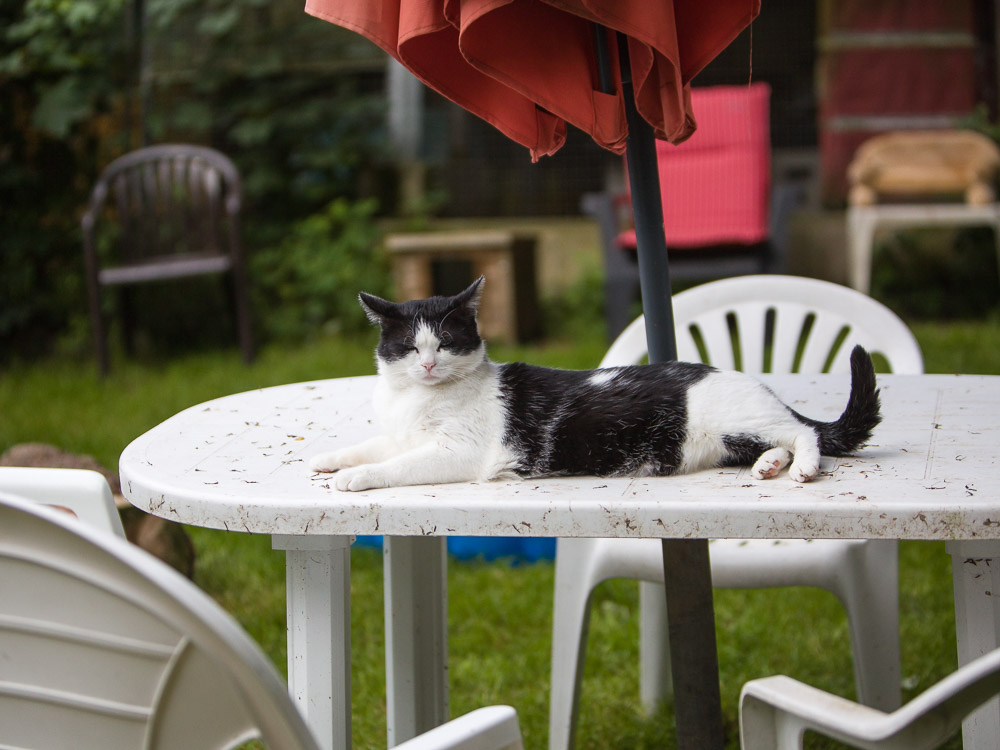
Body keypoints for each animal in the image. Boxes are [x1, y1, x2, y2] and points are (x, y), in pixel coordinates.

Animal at [308, 278, 880, 494]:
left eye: (445, 343)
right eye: (410, 348)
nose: (428, 365)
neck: (419, 400)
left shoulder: (458, 453)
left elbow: (396, 466)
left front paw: (355, 479)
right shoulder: (401, 434)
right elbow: (373, 445)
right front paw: (331, 460)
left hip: (743, 419)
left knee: (806, 433)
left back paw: (801, 467)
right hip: (733, 438)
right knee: (783, 439)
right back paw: (768, 465)